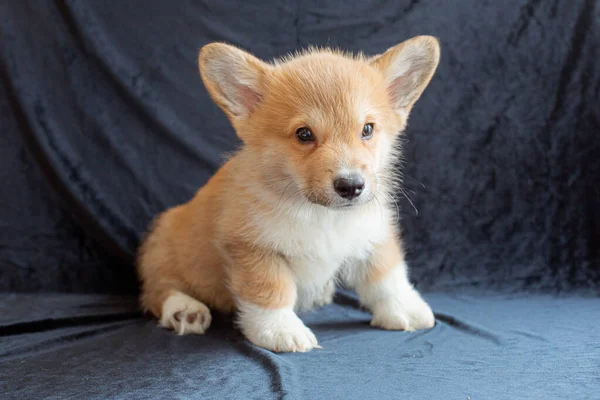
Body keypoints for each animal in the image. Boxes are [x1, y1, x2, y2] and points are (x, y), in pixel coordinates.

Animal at [139, 36, 440, 352]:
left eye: (367, 129)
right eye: (304, 134)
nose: (351, 186)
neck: (322, 215)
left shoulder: (372, 233)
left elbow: (386, 274)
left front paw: (404, 308)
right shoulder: (251, 247)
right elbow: (270, 289)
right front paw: (280, 330)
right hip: (163, 251)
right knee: (159, 289)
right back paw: (184, 310)